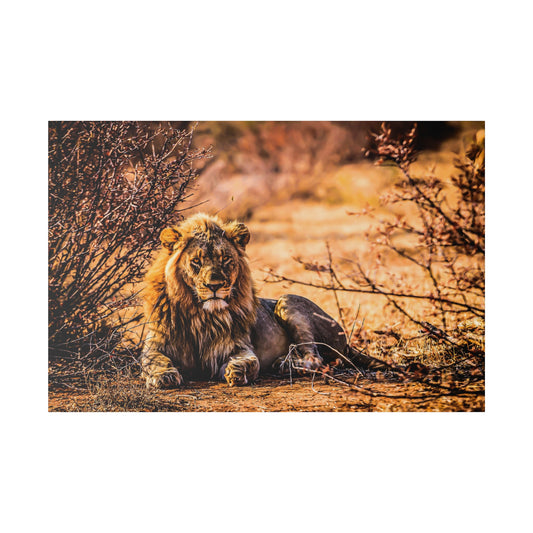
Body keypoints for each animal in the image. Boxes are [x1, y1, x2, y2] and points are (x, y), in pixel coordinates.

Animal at [141, 212, 382, 386]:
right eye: (196, 262)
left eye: (225, 259)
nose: (214, 286)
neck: (201, 314)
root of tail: (346, 341)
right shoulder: (154, 344)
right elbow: (153, 360)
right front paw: (164, 376)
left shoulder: (237, 346)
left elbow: (251, 361)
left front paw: (237, 371)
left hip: (287, 301)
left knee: (315, 359)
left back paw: (285, 364)